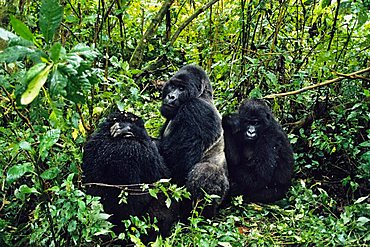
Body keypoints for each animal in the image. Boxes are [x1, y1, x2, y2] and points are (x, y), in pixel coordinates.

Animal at [158, 64, 228, 217]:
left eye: (181, 89)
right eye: (173, 86)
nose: (171, 96)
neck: (202, 95)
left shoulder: (196, 110)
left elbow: (178, 163)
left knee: (204, 171)